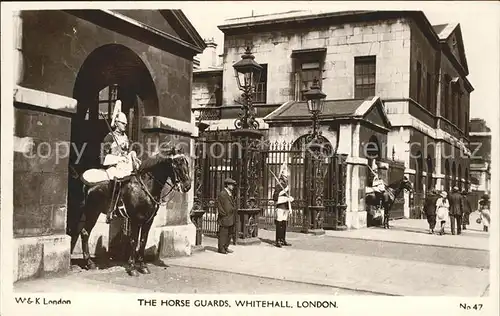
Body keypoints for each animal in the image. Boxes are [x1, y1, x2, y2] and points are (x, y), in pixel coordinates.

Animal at [67, 147, 191, 276]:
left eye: (186, 163)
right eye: (177, 164)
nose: (187, 186)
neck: (146, 187)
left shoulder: (148, 221)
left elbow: (143, 241)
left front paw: (143, 266)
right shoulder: (135, 219)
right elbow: (134, 240)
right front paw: (132, 267)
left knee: (82, 232)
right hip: (91, 212)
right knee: (83, 232)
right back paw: (88, 262)